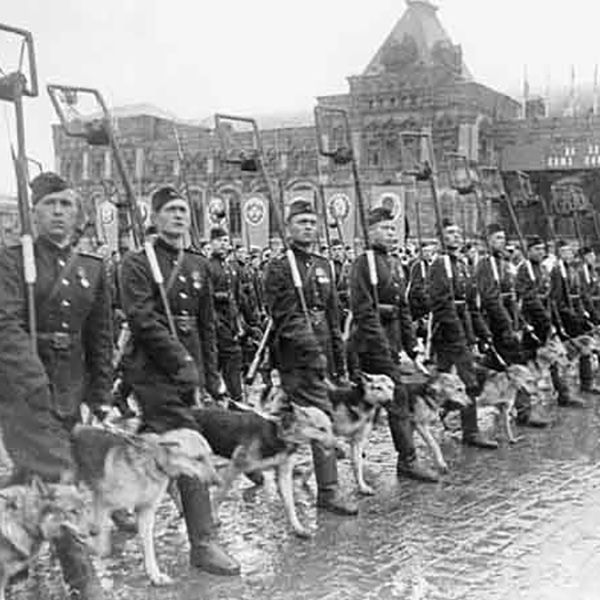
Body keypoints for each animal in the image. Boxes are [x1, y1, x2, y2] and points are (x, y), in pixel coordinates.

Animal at [71, 426, 220, 586]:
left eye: (210, 456)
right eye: (198, 458)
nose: (218, 481)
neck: (153, 463)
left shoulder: (146, 511)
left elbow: (148, 546)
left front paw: (154, 574)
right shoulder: (102, 502)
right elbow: (103, 548)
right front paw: (93, 552)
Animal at [192, 402, 336, 539]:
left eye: (331, 428)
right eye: (321, 429)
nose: (337, 447)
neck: (279, 434)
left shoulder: (284, 474)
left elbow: (290, 505)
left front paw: (298, 528)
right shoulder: (235, 466)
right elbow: (219, 495)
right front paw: (214, 516)